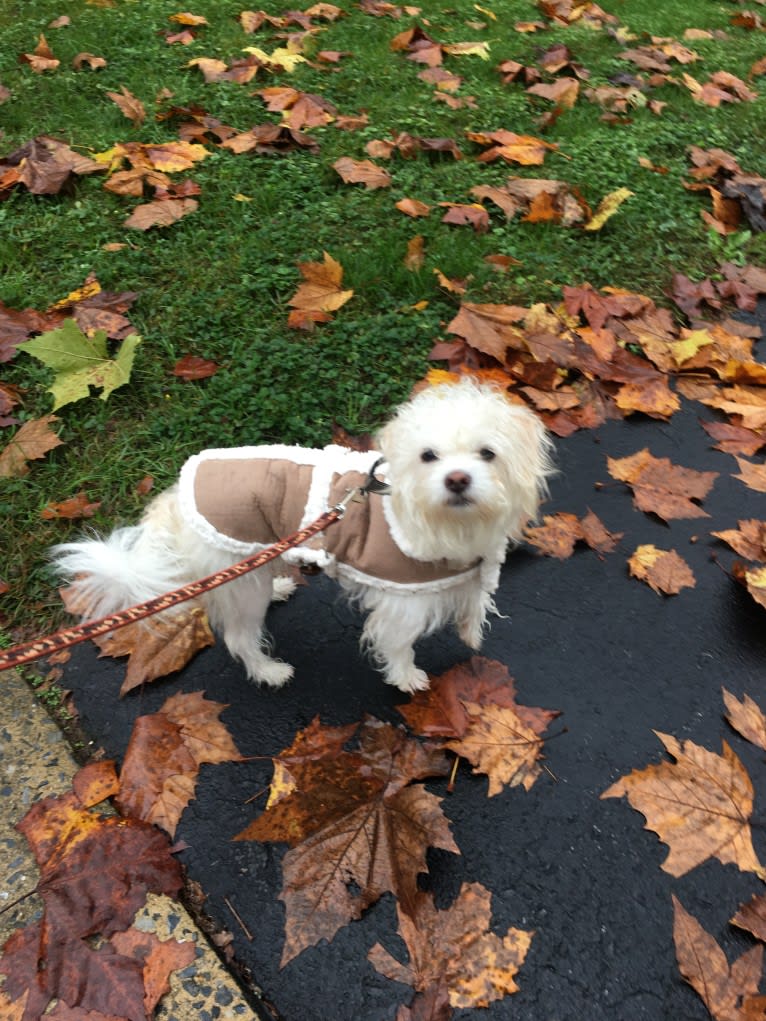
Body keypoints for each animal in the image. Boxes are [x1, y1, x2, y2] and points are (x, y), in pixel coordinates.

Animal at [55, 381, 559, 694]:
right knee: (239, 638)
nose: (456, 479)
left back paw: (280, 584)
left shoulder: (470, 570)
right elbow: (399, 645)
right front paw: (406, 677)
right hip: (241, 585)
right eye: (428, 456)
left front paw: (471, 634)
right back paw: (269, 671)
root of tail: (178, 497)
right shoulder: (403, 604)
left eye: (487, 454)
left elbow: (473, 603)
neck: (448, 523)